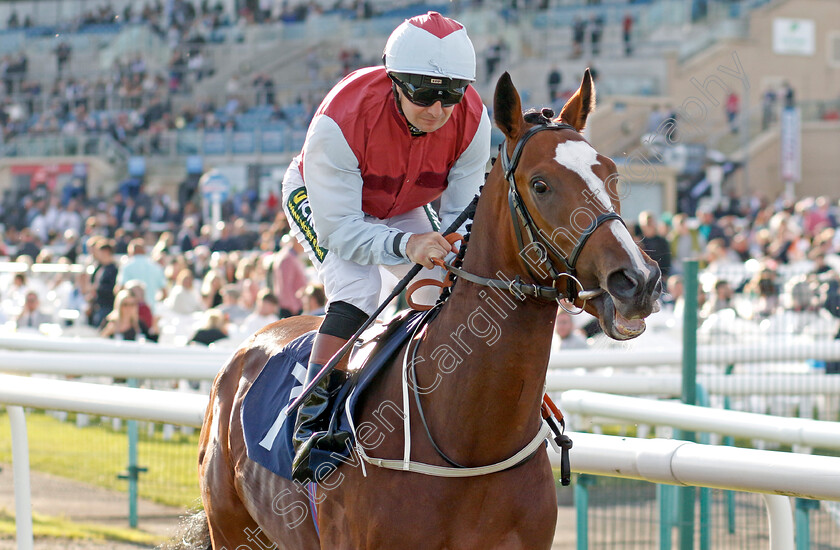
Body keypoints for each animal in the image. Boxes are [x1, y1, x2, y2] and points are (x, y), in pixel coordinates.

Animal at [187, 72, 660, 550]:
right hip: (229, 527)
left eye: (611, 173)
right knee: (348, 296)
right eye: (541, 184)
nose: (637, 280)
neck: (470, 445)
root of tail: (247, 347)